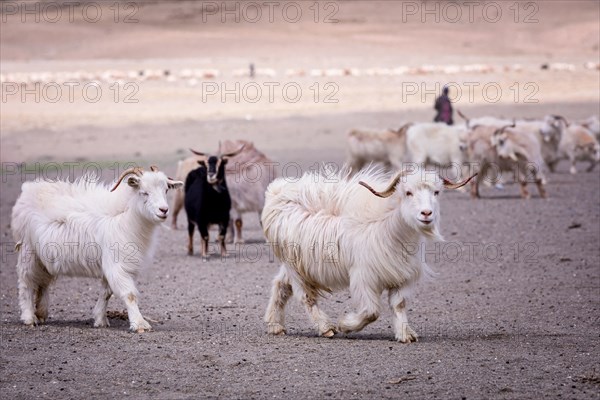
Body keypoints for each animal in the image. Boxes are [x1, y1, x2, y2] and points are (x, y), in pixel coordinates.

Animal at [10, 166, 182, 332]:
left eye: (166, 190)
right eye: (144, 192)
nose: (163, 210)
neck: (125, 215)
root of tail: (27, 190)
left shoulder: (111, 264)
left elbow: (106, 293)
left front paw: (100, 320)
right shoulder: (116, 264)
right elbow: (129, 294)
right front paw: (139, 324)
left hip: (43, 258)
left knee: (42, 281)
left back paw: (41, 312)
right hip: (28, 251)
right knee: (26, 282)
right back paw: (29, 318)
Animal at [262, 166, 474, 344]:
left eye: (436, 192)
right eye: (408, 192)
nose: (426, 213)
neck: (387, 226)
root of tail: (276, 191)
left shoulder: (401, 277)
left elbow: (399, 305)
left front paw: (405, 334)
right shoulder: (364, 277)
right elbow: (372, 312)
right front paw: (345, 325)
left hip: (297, 266)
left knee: (281, 285)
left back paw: (275, 325)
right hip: (295, 266)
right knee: (306, 297)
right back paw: (326, 327)